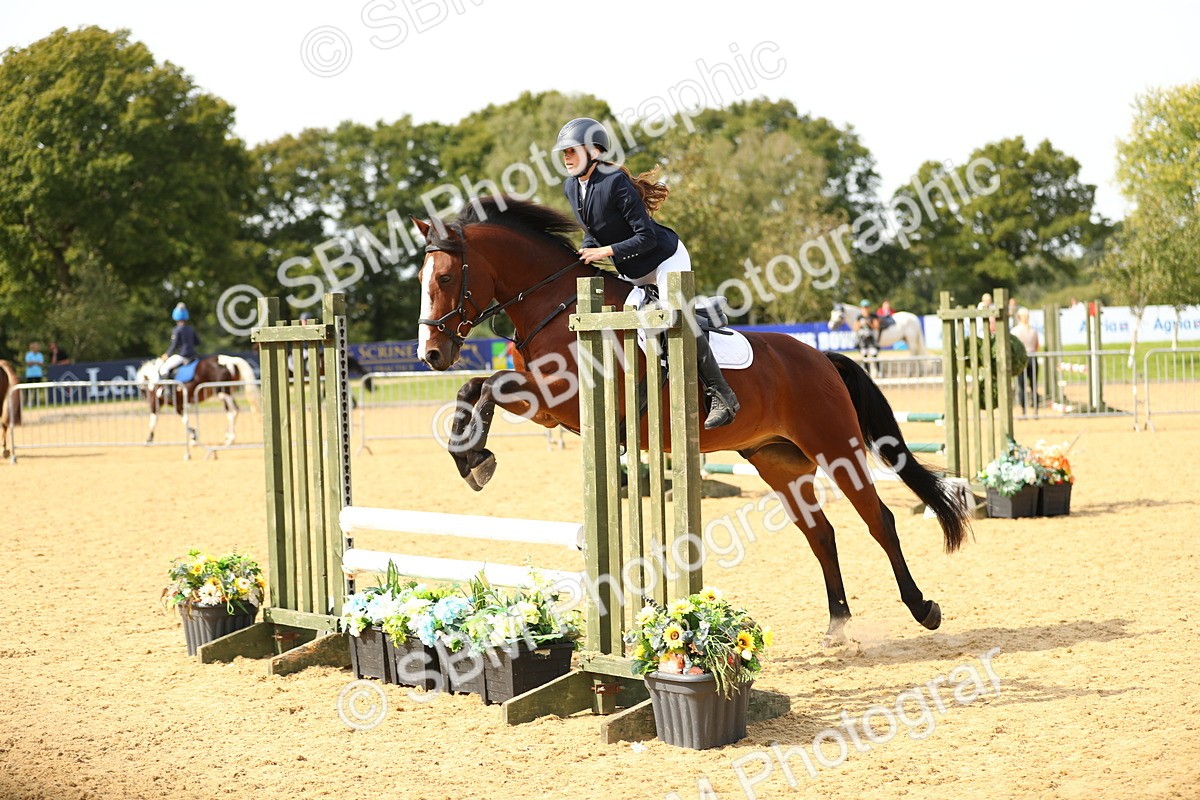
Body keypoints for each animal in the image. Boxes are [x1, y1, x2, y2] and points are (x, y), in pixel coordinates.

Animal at [412, 196, 971, 647]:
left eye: (445, 278)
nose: (432, 354)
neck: (560, 308)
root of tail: (821, 358)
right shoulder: (550, 411)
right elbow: (476, 387)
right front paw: (472, 458)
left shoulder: (562, 398)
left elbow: (486, 385)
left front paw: (477, 460)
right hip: (779, 463)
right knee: (821, 534)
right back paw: (837, 623)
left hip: (836, 447)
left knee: (879, 521)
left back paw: (923, 608)